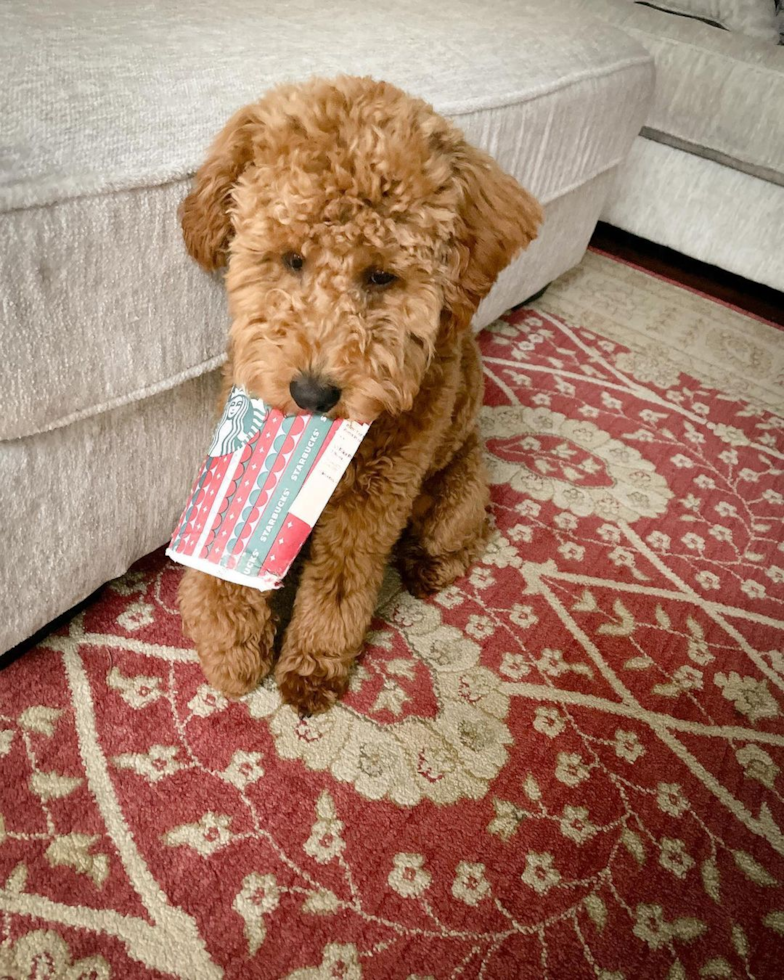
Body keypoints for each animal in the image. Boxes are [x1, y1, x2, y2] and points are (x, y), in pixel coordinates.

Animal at [177, 74, 540, 712]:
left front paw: (312, 666)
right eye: (290, 258)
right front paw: (230, 642)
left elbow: (340, 586)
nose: (312, 393)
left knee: (469, 533)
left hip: (455, 497)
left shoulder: (374, 500)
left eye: (381, 275)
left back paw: (426, 566)